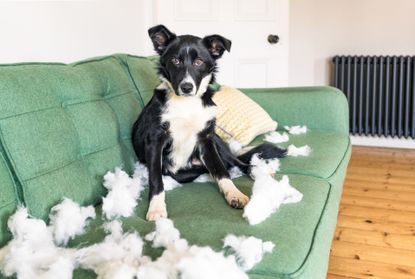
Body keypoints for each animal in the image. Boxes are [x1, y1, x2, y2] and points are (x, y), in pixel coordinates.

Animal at [132, 25, 286, 221]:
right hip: (183, 172)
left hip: (217, 141)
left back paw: (257, 171)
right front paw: (156, 208)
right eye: (175, 60)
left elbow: (221, 171)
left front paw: (234, 194)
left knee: (237, 163)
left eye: (199, 62)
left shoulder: (206, 140)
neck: (187, 104)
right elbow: (156, 179)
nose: (186, 87)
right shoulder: (155, 141)